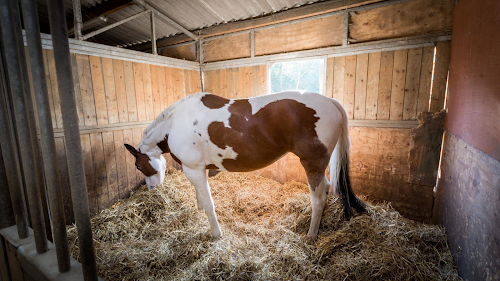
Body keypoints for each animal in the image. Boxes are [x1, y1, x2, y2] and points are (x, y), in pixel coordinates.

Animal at [124, 90, 368, 238]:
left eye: (138, 166)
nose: (152, 190)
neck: (176, 122)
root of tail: (332, 102)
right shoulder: (196, 169)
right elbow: (200, 196)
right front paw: (199, 210)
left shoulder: (194, 169)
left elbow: (210, 204)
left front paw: (216, 234)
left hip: (312, 164)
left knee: (318, 197)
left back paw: (311, 234)